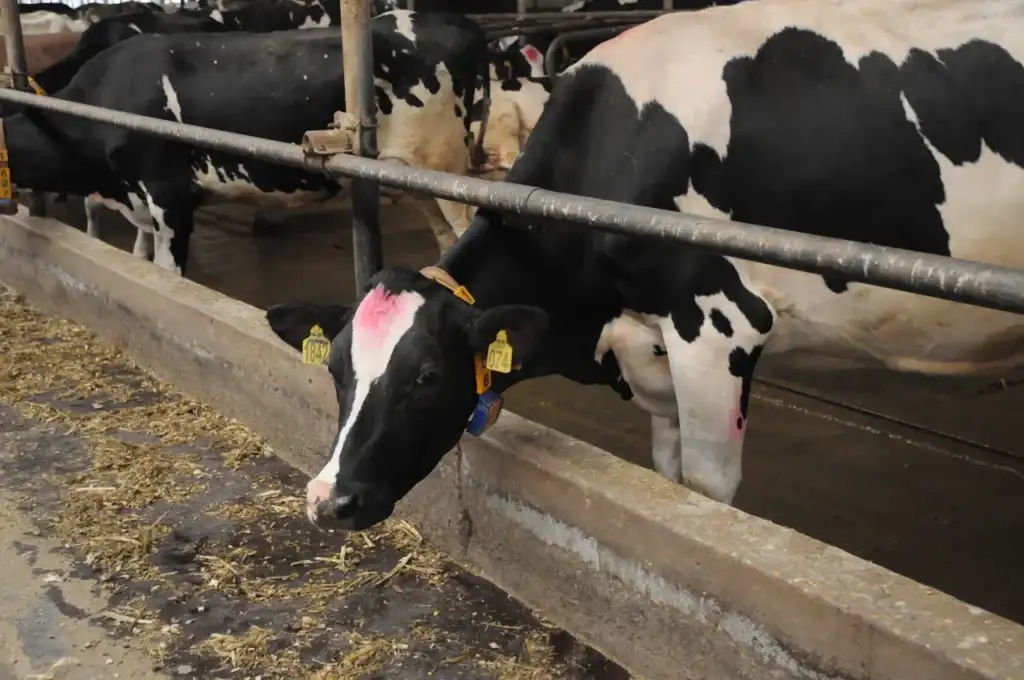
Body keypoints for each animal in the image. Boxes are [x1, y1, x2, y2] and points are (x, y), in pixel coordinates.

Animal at [261, 0, 1024, 531]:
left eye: (425, 376)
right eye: (335, 369)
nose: (327, 500)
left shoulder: (718, 327)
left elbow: (707, 492)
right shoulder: (648, 346)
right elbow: (667, 472)